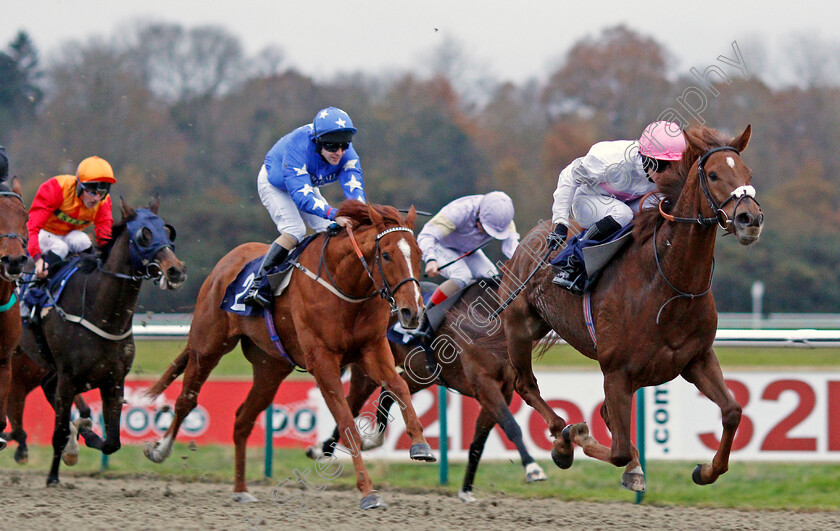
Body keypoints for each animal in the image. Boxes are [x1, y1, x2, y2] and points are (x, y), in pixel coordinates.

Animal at [145, 202, 434, 510]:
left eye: (418, 253)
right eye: (387, 254)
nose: (412, 311)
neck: (346, 286)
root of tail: (224, 264)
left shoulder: (372, 349)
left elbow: (398, 386)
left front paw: (421, 445)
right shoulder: (322, 360)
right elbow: (347, 423)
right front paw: (368, 492)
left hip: (270, 368)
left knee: (243, 419)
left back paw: (241, 489)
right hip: (207, 346)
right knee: (186, 400)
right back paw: (160, 449)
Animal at [492, 125, 760, 494]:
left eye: (748, 173)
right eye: (715, 174)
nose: (750, 219)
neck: (667, 284)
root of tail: (532, 235)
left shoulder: (697, 359)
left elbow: (733, 411)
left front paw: (704, 471)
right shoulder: (617, 372)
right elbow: (616, 449)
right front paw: (574, 438)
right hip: (519, 326)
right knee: (526, 384)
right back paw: (562, 437)